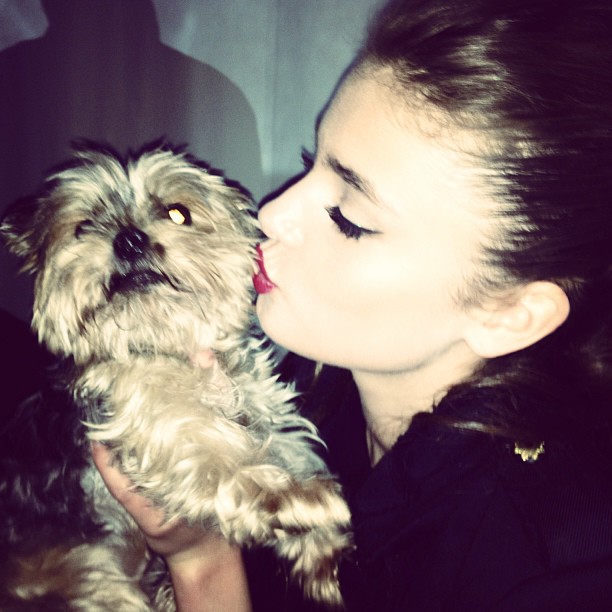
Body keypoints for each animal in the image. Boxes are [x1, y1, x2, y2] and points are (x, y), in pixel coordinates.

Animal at [0, 144, 352, 609]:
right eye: (84, 226)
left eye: (177, 213)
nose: (129, 239)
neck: (168, 346)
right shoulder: (146, 406)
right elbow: (214, 447)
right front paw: (294, 496)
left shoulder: (259, 404)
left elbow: (287, 447)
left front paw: (322, 553)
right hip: (91, 580)